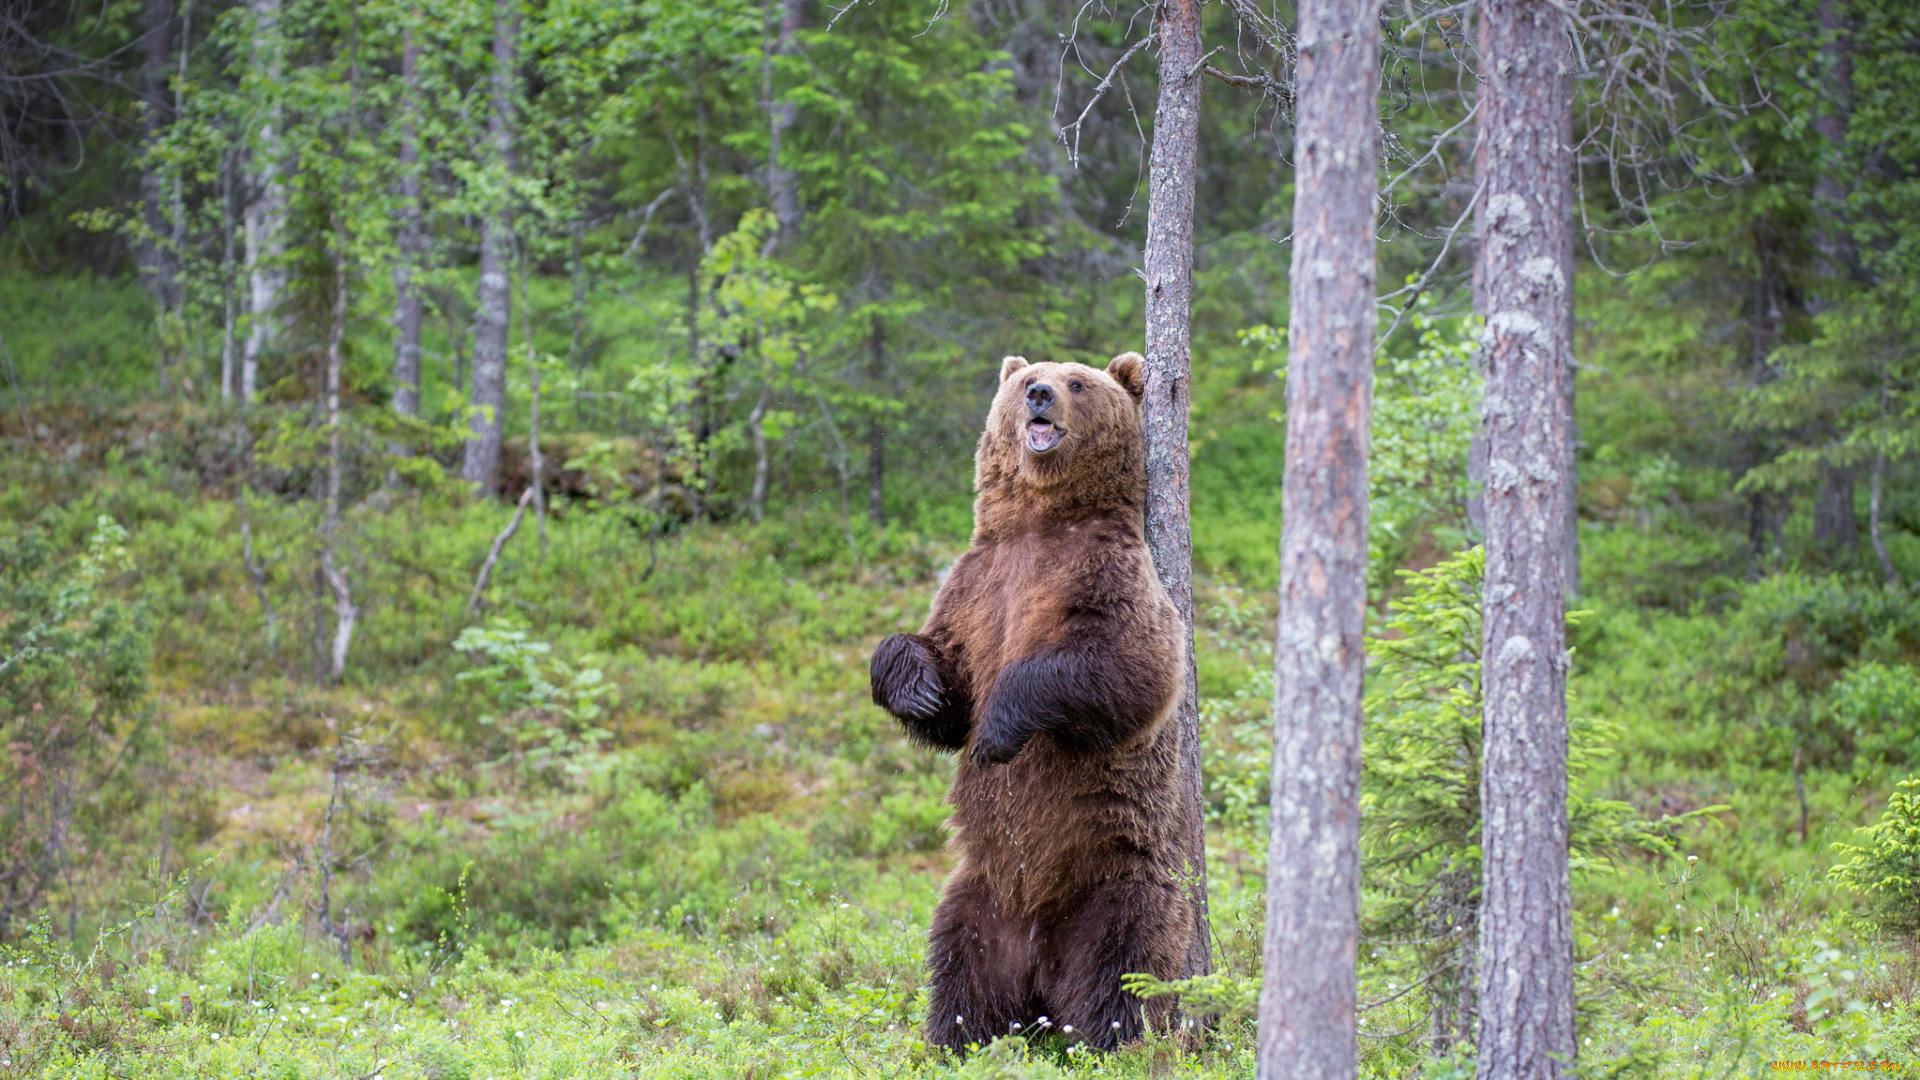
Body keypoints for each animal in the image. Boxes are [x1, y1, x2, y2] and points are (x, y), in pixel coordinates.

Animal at [867, 353, 1182, 1053]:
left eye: (1078, 382)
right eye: (1025, 378)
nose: (1039, 393)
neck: (1041, 521)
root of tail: (1040, 967)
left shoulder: (1108, 574)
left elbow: (1127, 666)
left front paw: (996, 730)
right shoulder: (975, 585)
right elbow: (945, 675)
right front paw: (917, 686)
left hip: (1113, 879)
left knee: (1124, 962)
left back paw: (1109, 1040)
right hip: (979, 896)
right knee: (960, 967)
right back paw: (955, 1039)